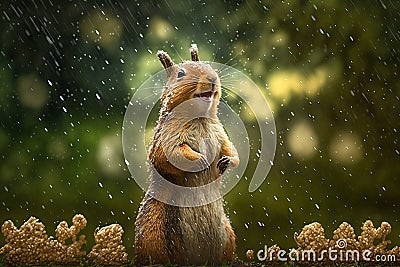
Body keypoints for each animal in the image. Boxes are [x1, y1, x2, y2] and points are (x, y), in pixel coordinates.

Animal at [134, 44, 241, 266]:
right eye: (181, 74)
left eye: (208, 65)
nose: (212, 78)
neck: (200, 118)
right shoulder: (166, 137)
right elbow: (168, 155)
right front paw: (200, 160)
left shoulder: (220, 135)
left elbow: (231, 150)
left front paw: (228, 162)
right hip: (153, 233)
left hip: (228, 235)